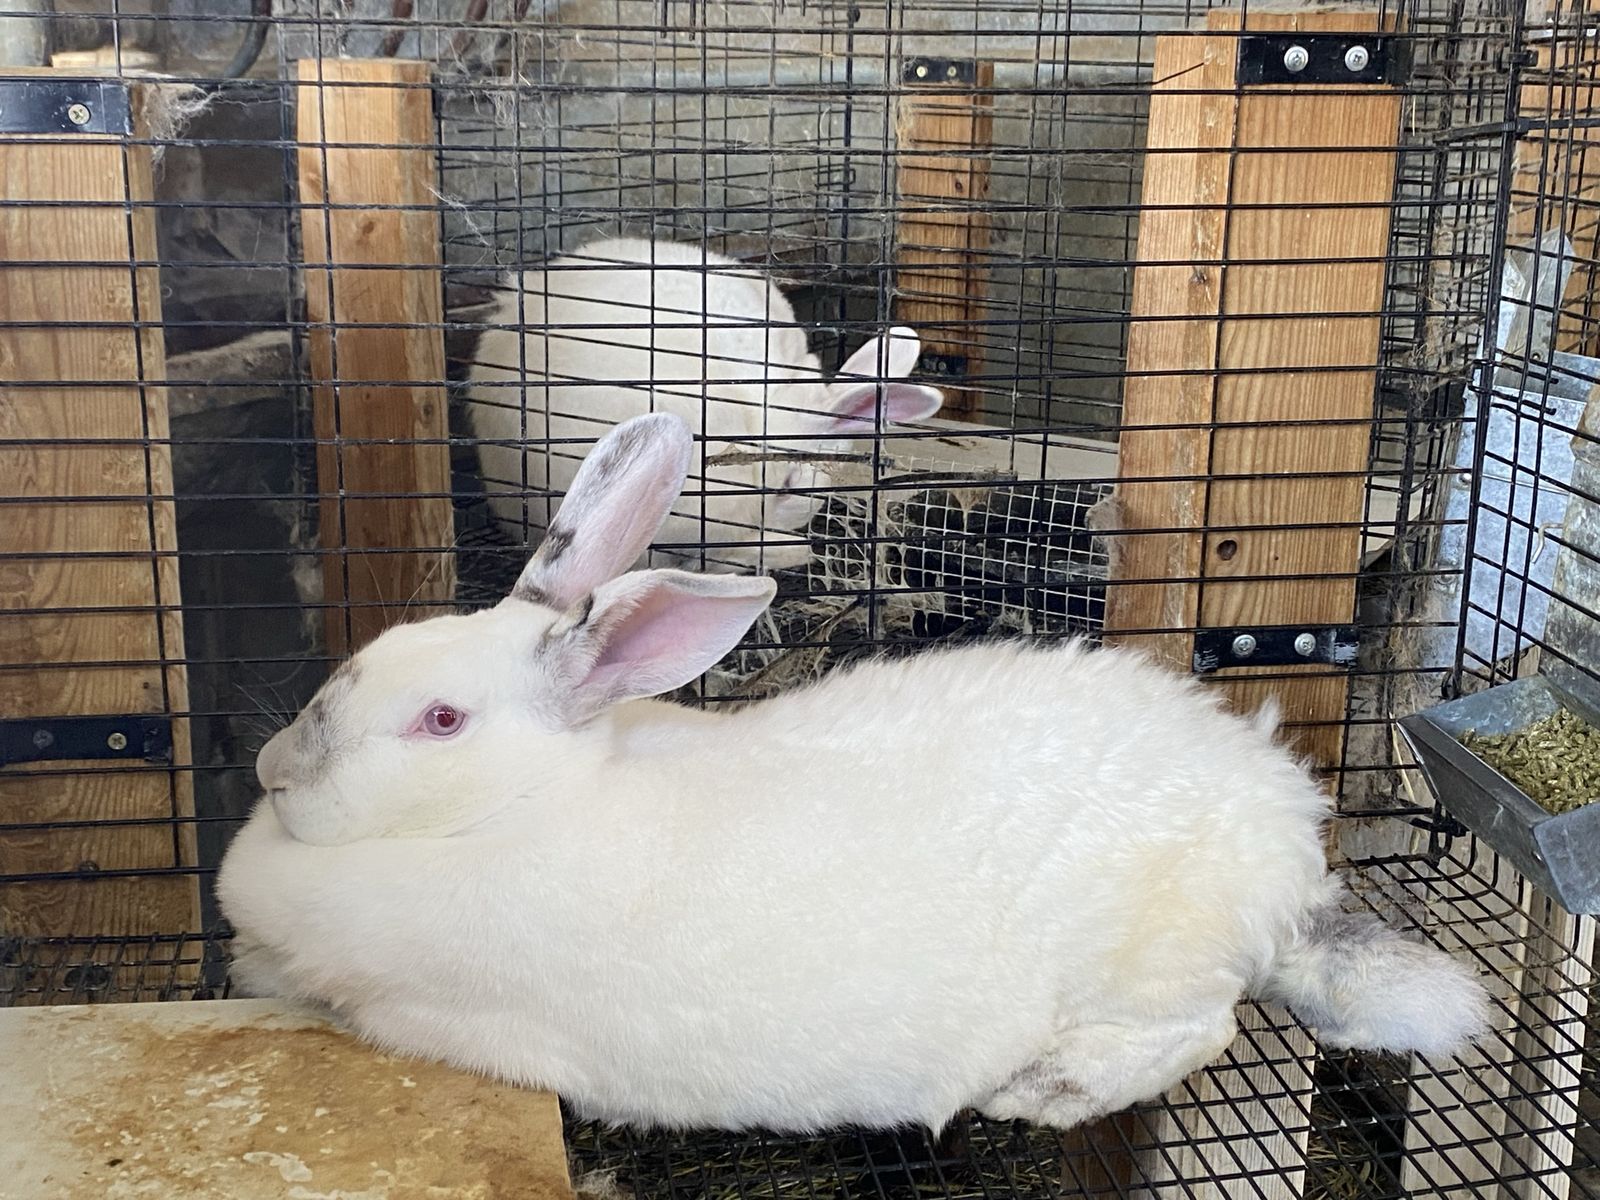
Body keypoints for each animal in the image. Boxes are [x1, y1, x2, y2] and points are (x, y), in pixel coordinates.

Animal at [217, 411, 1489, 1136]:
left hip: (1151, 961)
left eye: (438, 720)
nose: (276, 770)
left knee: (1202, 1028)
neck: (534, 803)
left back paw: (1043, 1091)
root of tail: (1286, 847)